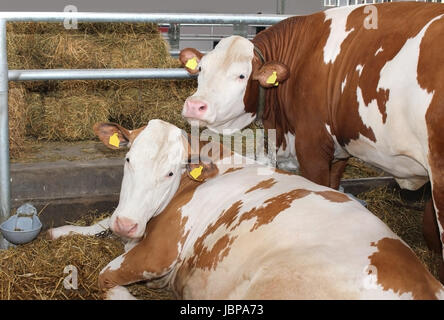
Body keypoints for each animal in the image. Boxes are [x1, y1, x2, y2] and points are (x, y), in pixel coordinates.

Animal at [49, 120, 444, 300]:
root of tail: (427, 281)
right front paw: (60, 231)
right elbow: (99, 221)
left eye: (171, 172)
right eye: (128, 159)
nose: (128, 224)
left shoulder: (158, 251)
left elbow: (105, 276)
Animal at [179, 3, 444, 282]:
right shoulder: (337, 151)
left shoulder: (311, 147)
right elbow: (334, 188)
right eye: (201, 69)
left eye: (242, 75)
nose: (195, 106)